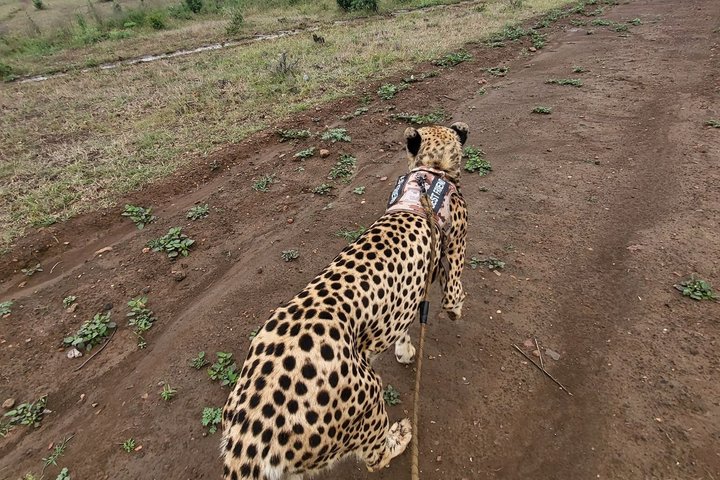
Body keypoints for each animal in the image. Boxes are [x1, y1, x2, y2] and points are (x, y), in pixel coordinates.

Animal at [221, 122, 470, 480]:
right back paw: (400, 436)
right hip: (368, 396)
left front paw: (405, 350)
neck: (430, 172)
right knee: (375, 457)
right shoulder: (454, 247)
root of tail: (252, 432)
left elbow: (403, 324)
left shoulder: (403, 301)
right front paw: (454, 310)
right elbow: (453, 289)